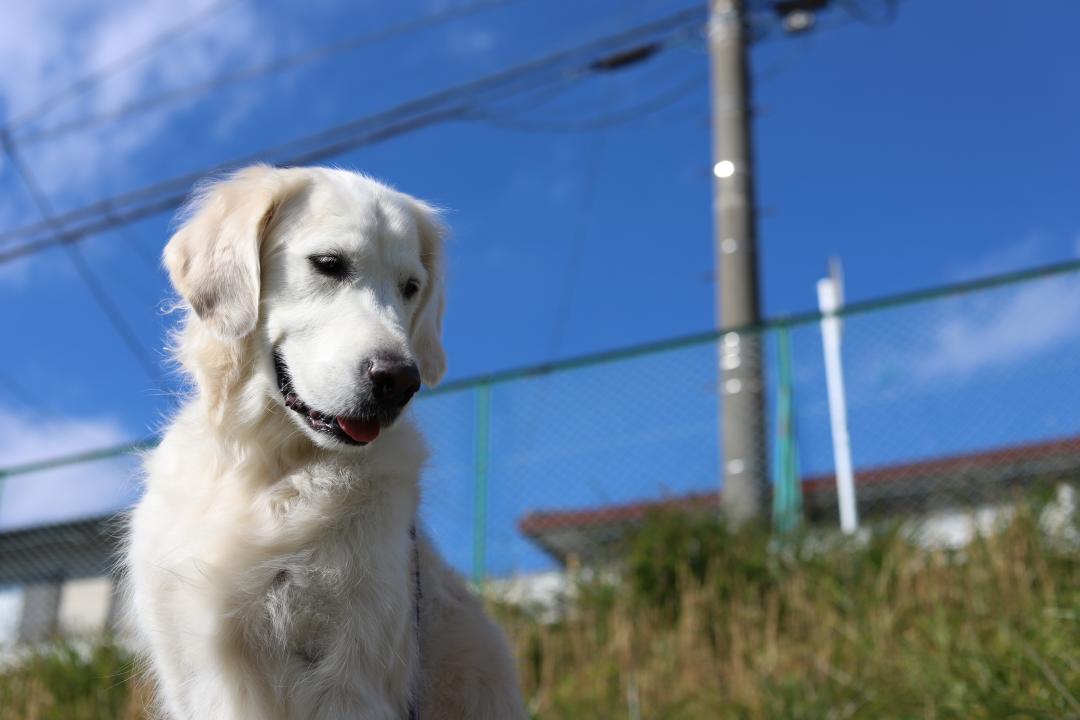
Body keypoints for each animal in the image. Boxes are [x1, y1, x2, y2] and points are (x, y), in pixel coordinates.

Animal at [126, 166, 527, 716]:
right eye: (329, 265)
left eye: (410, 287)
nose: (401, 381)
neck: (266, 464)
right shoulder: (185, 666)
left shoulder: (349, 672)